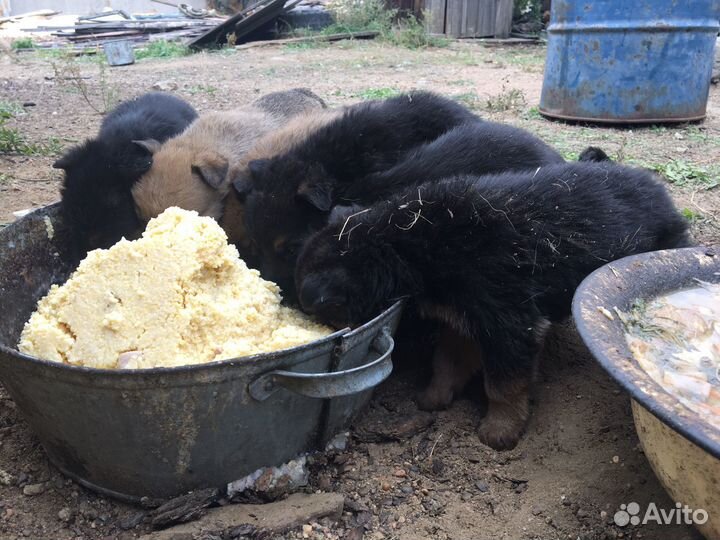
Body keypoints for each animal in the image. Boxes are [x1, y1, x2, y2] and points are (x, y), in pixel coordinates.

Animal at [294, 162, 692, 450]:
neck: (409, 240)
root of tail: (660, 191)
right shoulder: (462, 316)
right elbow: (448, 360)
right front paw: (435, 396)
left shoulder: (508, 318)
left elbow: (502, 382)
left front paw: (500, 430)